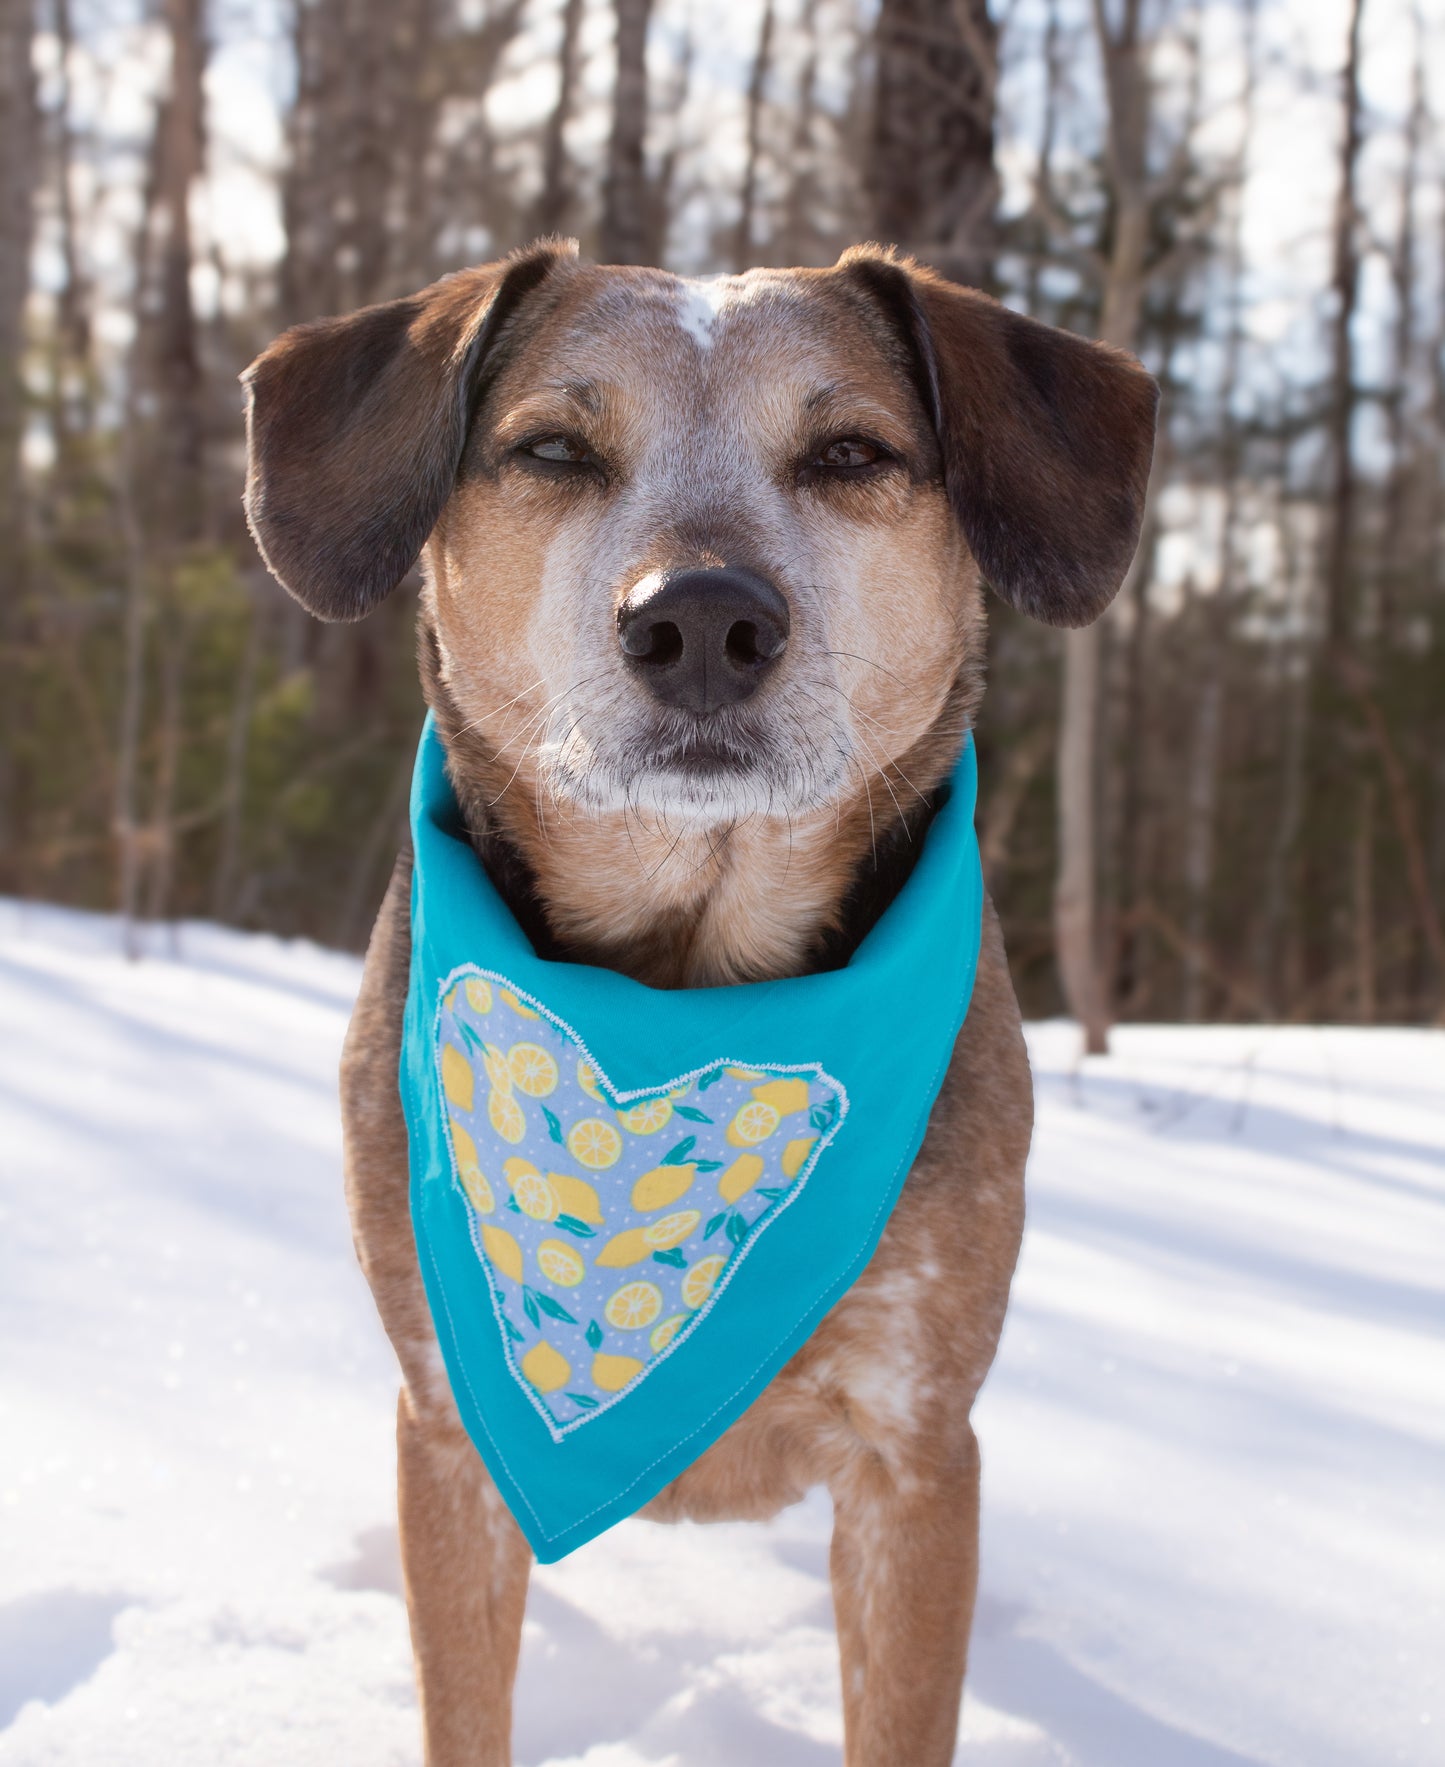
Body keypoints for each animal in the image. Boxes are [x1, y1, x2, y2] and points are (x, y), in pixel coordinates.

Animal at [242, 245, 1151, 1767]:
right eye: (552, 449)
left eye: (851, 454)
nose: (705, 620)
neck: (681, 975)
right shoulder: (449, 1426)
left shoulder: (914, 1453)